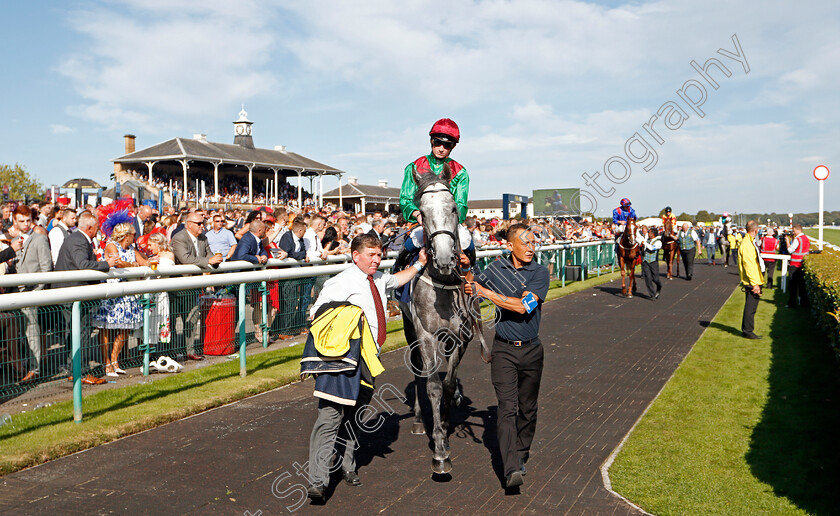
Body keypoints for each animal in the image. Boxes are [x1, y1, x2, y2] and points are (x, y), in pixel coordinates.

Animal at [402, 167, 492, 474]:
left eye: (453, 208)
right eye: (421, 212)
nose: (443, 258)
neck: (443, 280)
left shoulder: (462, 336)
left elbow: (450, 383)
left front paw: (447, 422)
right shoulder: (425, 334)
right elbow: (432, 385)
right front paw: (440, 451)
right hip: (410, 330)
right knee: (418, 372)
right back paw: (419, 420)